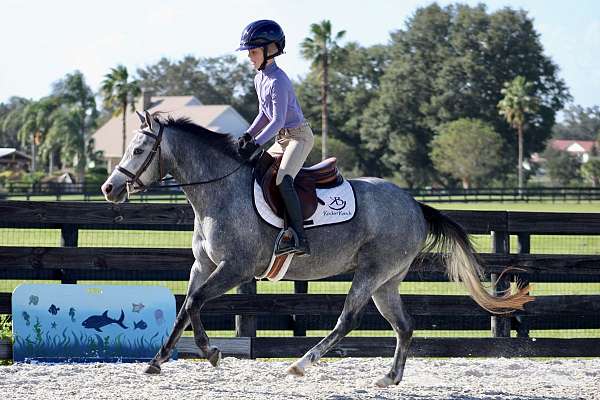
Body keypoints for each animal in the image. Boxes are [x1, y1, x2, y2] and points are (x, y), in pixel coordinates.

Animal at [101, 111, 532, 386]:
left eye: (138, 151)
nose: (109, 188)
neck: (219, 191)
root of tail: (414, 205)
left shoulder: (235, 269)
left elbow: (194, 304)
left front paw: (211, 353)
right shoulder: (203, 267)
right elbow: (184, 309)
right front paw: (156, 362)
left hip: (371, 273)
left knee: (347, 320)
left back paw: (301, 365)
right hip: (387, 281)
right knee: (404, 326)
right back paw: (388, 378)